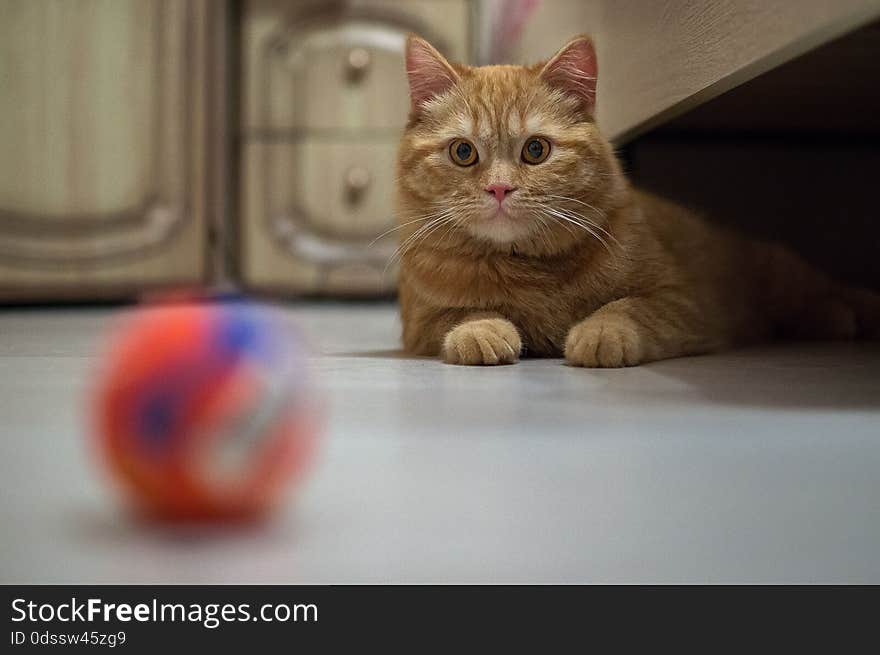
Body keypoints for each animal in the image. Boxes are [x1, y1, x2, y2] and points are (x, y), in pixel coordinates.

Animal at [396, 34, 876, 368]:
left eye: (535, 150)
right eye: (463, 152)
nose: (499, 189)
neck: (528, 270)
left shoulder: (681, 300)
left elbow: (627, 307)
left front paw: (601, 332)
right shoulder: (420, 324)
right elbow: (461, 315)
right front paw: (480, 330)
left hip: (781, 274)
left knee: (826, 291)